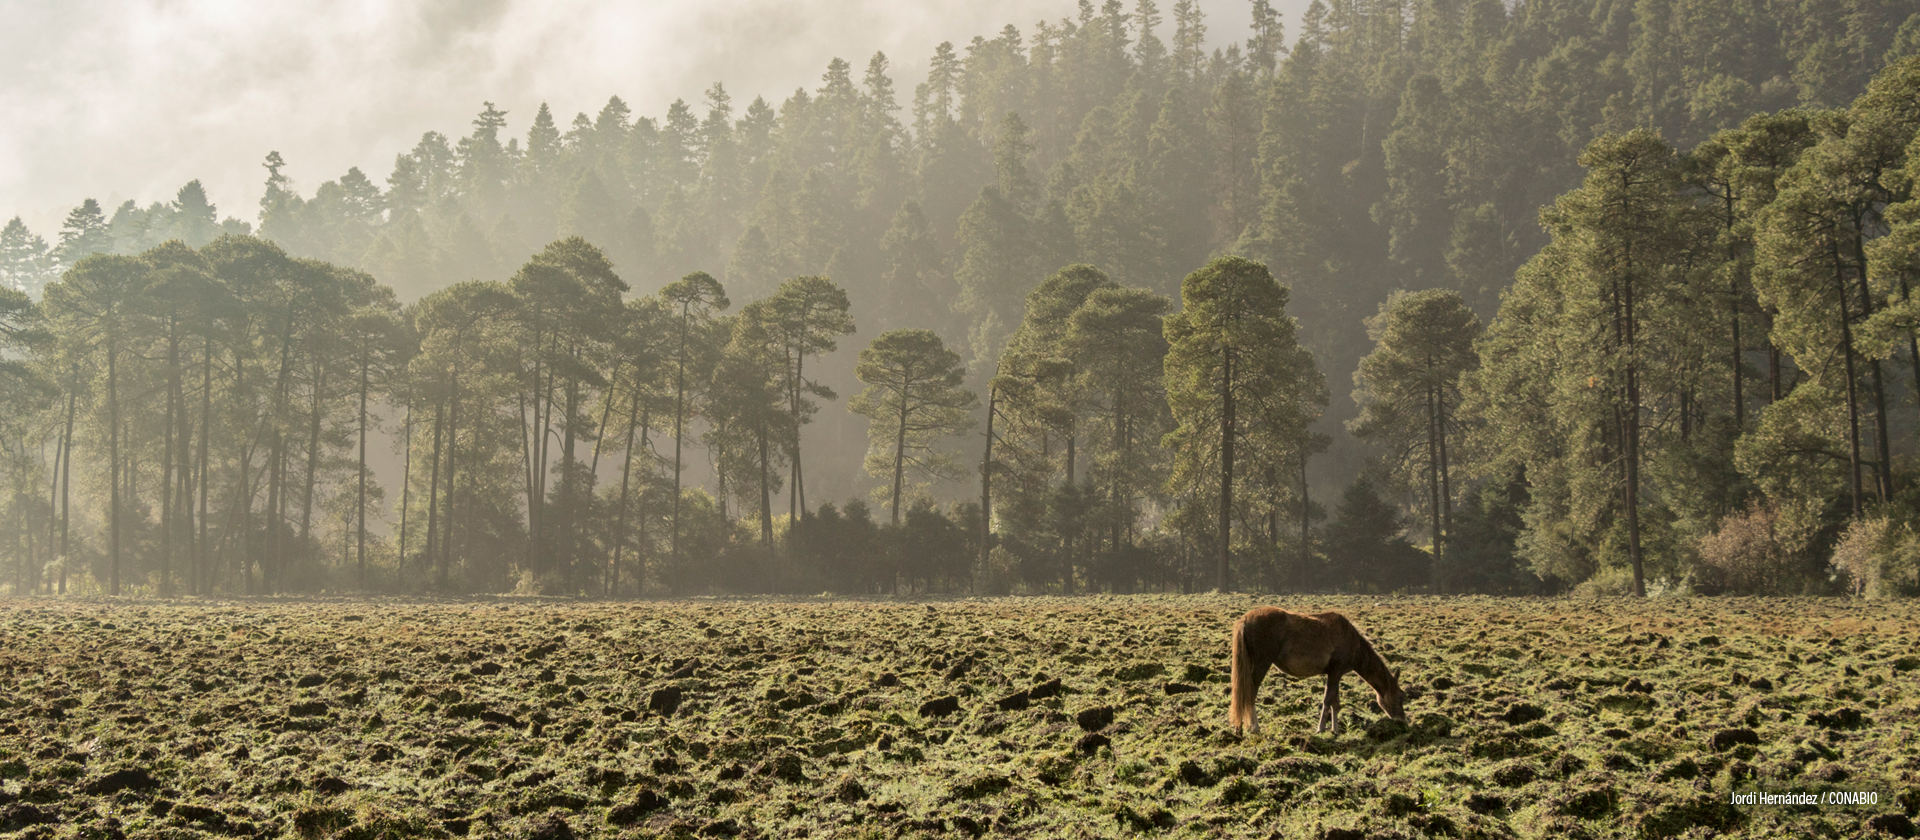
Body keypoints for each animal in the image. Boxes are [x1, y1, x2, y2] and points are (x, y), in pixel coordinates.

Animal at [1228, 602, 1413, 736]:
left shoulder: (1335, 674)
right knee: (1249, 693)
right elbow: (1328, 700)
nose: (1403, 722)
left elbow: (1335, 702)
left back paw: (1239, 728)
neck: (1353, 642)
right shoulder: (1335, 672)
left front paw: (1335, 730)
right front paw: (1321, 729)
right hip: (1261, 664)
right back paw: (1254, 728)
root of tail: (1245, 620)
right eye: (1401, 696)